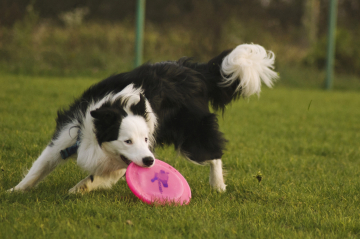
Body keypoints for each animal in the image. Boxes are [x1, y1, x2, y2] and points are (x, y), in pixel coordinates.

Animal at [9, 44, 278, 194]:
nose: (150, 161)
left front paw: (78, 189)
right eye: (127, 141)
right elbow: (42, 164)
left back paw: (218, 185)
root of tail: (194, 71)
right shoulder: (70, 133)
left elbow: (99, 176)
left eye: (146, 139)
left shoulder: (125, 160)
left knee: (213, 152)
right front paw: (15, 191)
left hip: (192, 135)